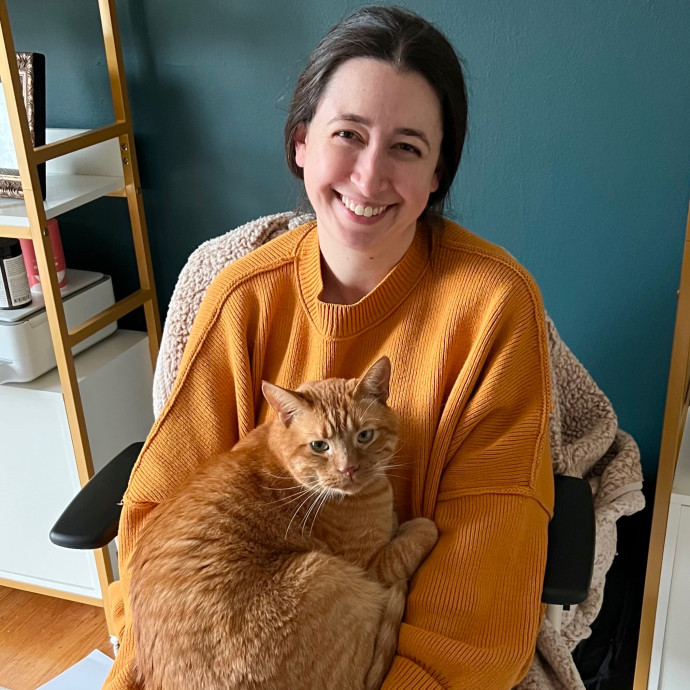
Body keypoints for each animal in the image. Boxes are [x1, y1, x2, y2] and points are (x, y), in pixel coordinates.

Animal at [130, 358, 436, 684]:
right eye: (319, 446)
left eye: (364, 436)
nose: (349, 469)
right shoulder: (371, 565)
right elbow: (417, 536)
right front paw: (413, 525)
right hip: (323, 571)